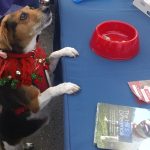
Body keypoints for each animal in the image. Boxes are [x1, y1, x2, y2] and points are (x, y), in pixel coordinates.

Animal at [0, 4, 80, 150]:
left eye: (31, 7)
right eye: (23, 16)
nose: (47, 8)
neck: (28, 57)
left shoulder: (47, 69)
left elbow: (53, 54)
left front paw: (67, 50)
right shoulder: (35, 103)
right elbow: (51, 89)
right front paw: (67, 86)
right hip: (10, 145)